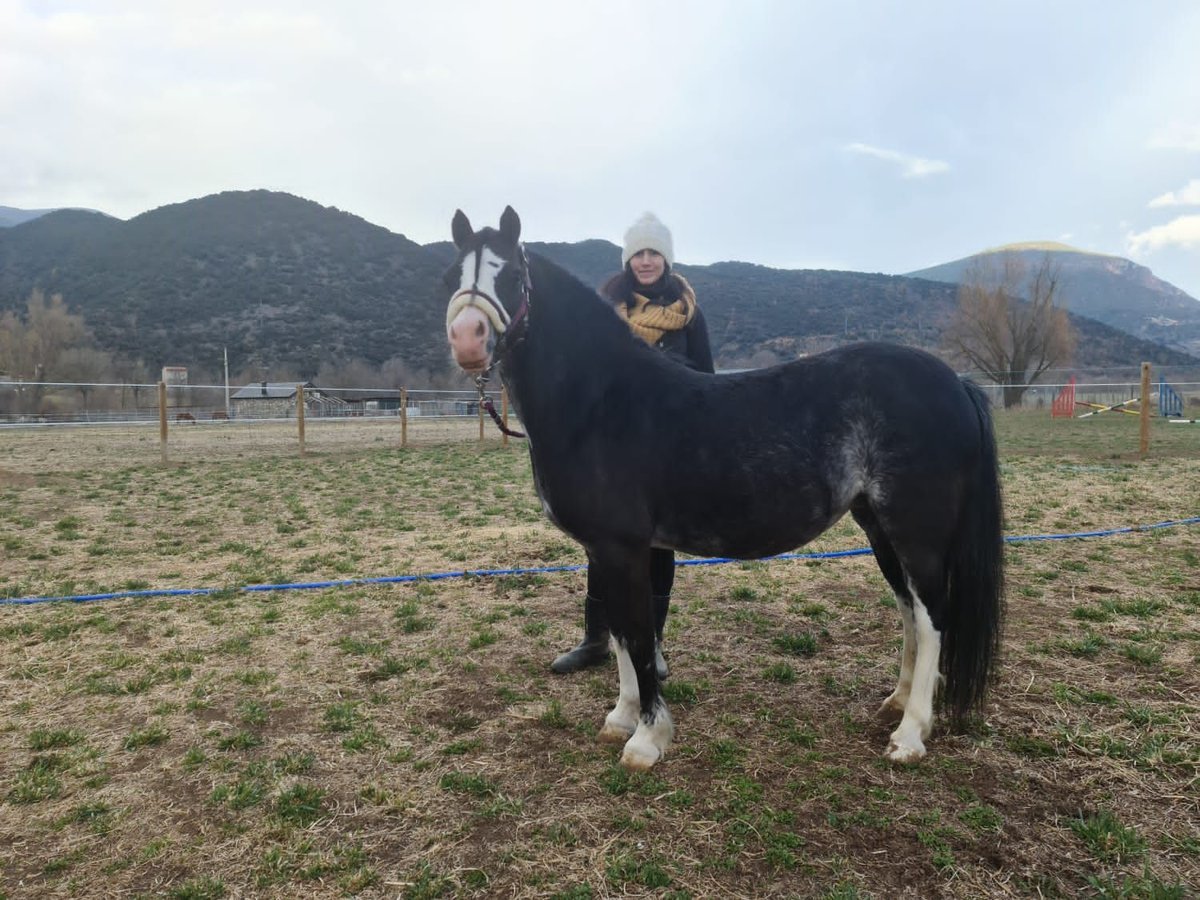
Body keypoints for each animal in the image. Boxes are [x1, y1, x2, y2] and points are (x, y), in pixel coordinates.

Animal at [444, 207, 1003, 772]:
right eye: (450, 277)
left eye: (512, 274)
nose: (466, 339)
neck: (600, 403)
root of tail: (956, 382)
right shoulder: (606, 551)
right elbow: (623, 636)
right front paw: (620, 718)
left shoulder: (624, 548)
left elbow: (640, 639)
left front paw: (646, 740)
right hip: (878, 526)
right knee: (909, 608)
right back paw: (896, 702)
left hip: (917, 531)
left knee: (932, 617)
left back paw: (910, 735)